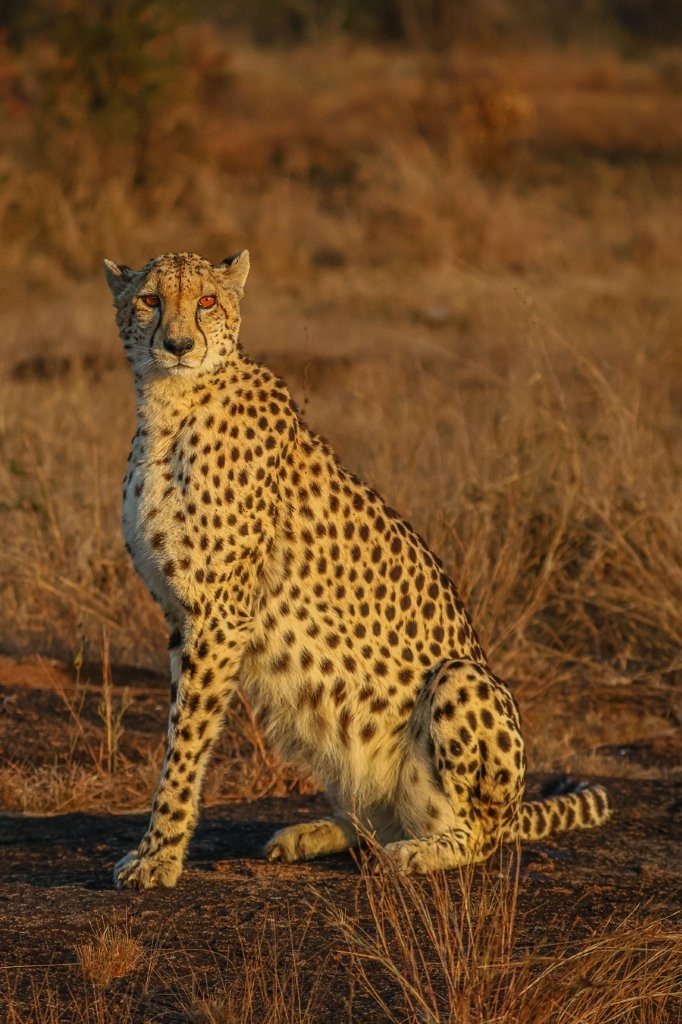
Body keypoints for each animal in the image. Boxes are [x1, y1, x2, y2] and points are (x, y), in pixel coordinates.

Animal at [103, 249, 611, 889]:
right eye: (150, 299)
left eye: (207, 301)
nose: (177, 345)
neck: (170, 405)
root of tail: (519, 807)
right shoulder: (182, 616)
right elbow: (178, 730)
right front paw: (159, 848)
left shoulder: (217, 615)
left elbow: (185, 743)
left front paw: (159, 855)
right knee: (373, 820)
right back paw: (318, 832)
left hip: (461, 679)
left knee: (480, 835)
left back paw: (422, 851)